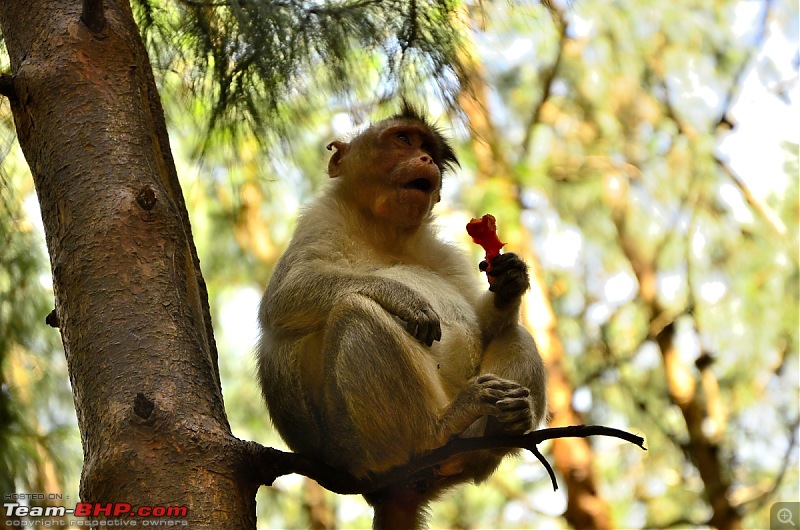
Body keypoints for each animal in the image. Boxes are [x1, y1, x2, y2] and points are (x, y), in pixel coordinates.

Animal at [260, 101, 548, 524]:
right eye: (402, 140)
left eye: (426, 146)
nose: (425, 158)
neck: (384, 231)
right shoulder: (322, 218)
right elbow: (284, 298)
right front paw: (402, 297)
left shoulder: (442, 252)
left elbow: (485, 326)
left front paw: (510, 278)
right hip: (357, 451)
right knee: (354, 309)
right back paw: (436, 430)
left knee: (514, 333)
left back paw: (505, 424)